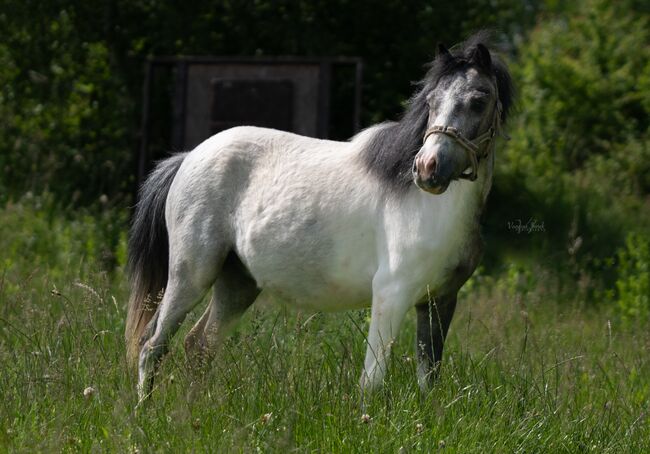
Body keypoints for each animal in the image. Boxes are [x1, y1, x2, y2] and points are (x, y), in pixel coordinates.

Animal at [125, 36, 512, 404]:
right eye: (431, 101)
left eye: (479, 101)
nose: (427, 168)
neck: (430, 207)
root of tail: (189, 157)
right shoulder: (392, 294)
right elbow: (371, 382)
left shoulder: (438, 301)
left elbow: (428, 378)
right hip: (191, 275)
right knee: (152, 345)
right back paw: (144, 412)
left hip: (237, 282)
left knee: (199, 346)